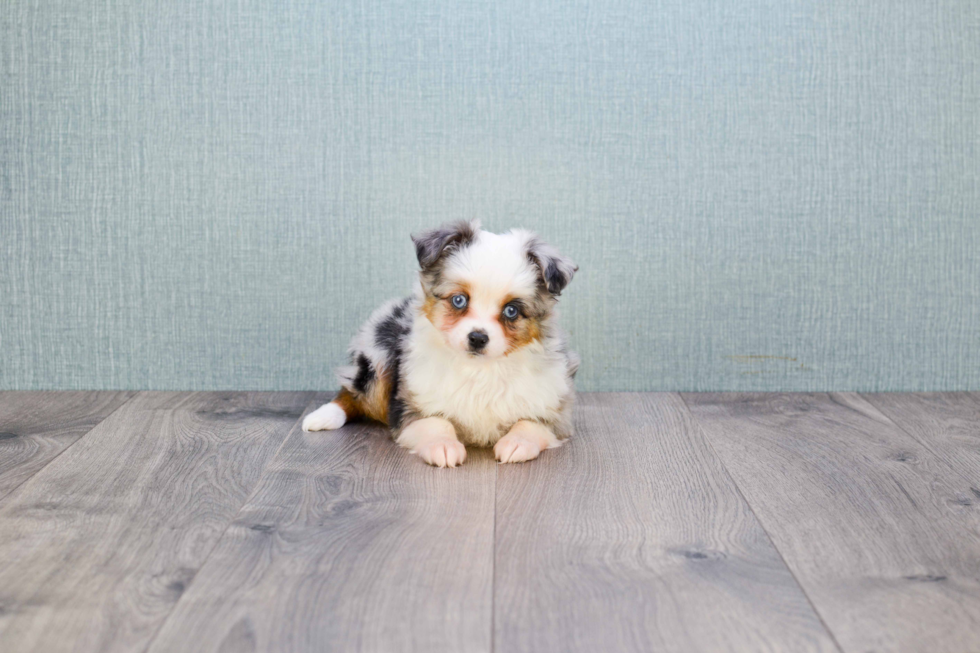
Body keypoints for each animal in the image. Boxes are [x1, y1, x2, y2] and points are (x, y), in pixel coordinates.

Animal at [302, 222, 580, 466]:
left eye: (511, 311)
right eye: (459, 300)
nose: (477, 338)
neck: (480, 370)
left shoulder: (557, 408)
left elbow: (531, 423)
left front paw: (517, 443)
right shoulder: (410, 404)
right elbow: (437, 421)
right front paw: (443, 446)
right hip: (379, 353)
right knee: (352, 392)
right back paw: (323, 416)